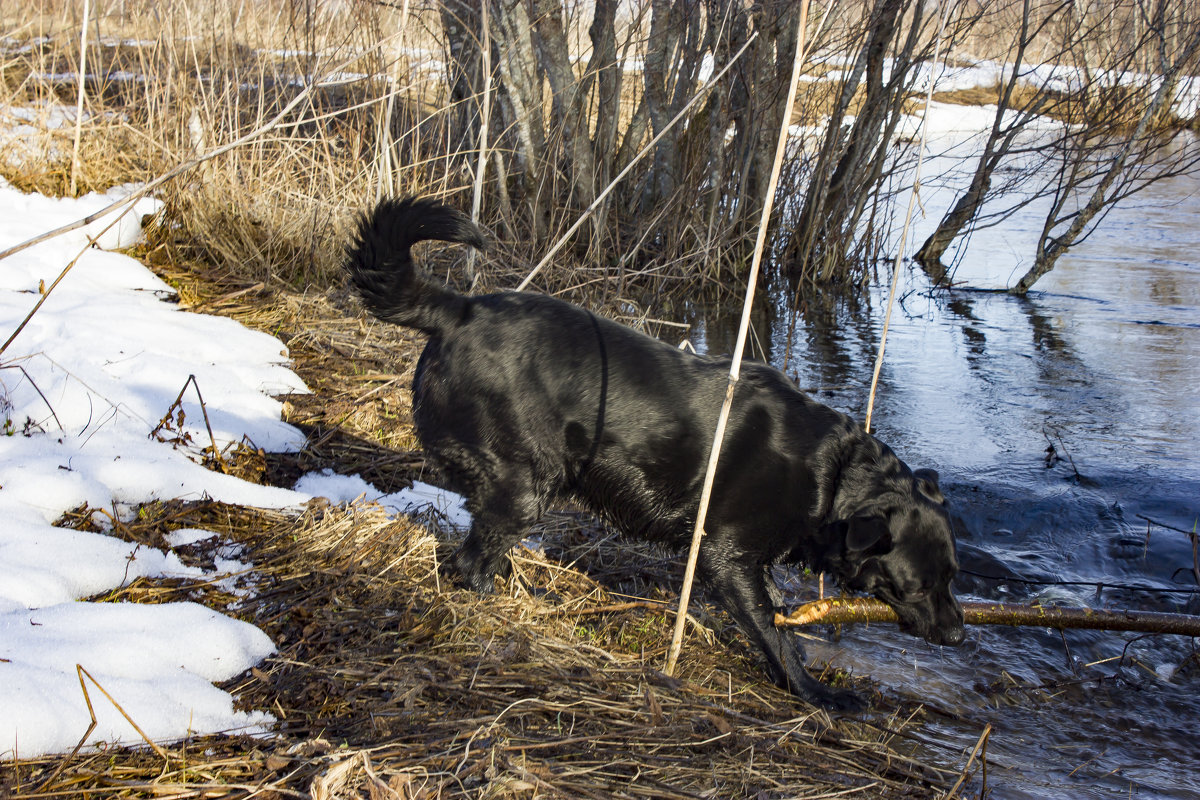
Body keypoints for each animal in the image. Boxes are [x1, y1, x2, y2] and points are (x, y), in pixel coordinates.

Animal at [345, 196, 964, 710]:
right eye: (917, 586)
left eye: (954, 576)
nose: (959, 632)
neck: (833, 473)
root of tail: (458, 309)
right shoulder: (726, 557)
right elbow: (774, 633)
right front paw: (818, 694)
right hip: (525, 485)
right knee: (471, 561)